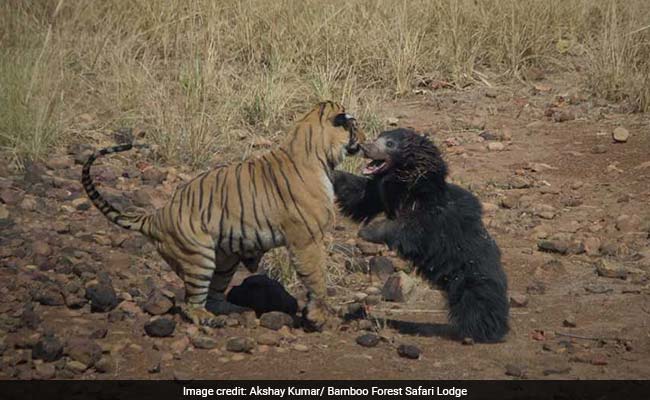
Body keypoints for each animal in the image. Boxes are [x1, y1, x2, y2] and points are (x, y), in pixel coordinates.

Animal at [80, 101, 362, 330]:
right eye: (355, 126)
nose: (365, 136)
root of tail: (155, 217)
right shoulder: (307, 240)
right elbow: (317, 278)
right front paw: (319, 318)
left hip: (225, 260)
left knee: (214, 296)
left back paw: (235, 310)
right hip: (199, 258)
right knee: (191, 303)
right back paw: (210, 319)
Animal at [334, 130, 506, 342]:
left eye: (389, 143)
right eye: (378, 138)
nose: (364, 147)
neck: (405, 186)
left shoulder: (432, 218)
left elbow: (409, 230)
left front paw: (368, 230)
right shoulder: (380, 193)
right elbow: (359, 196)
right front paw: (330, 173)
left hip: (471, 275)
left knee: (478, 303)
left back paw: (479, 332)